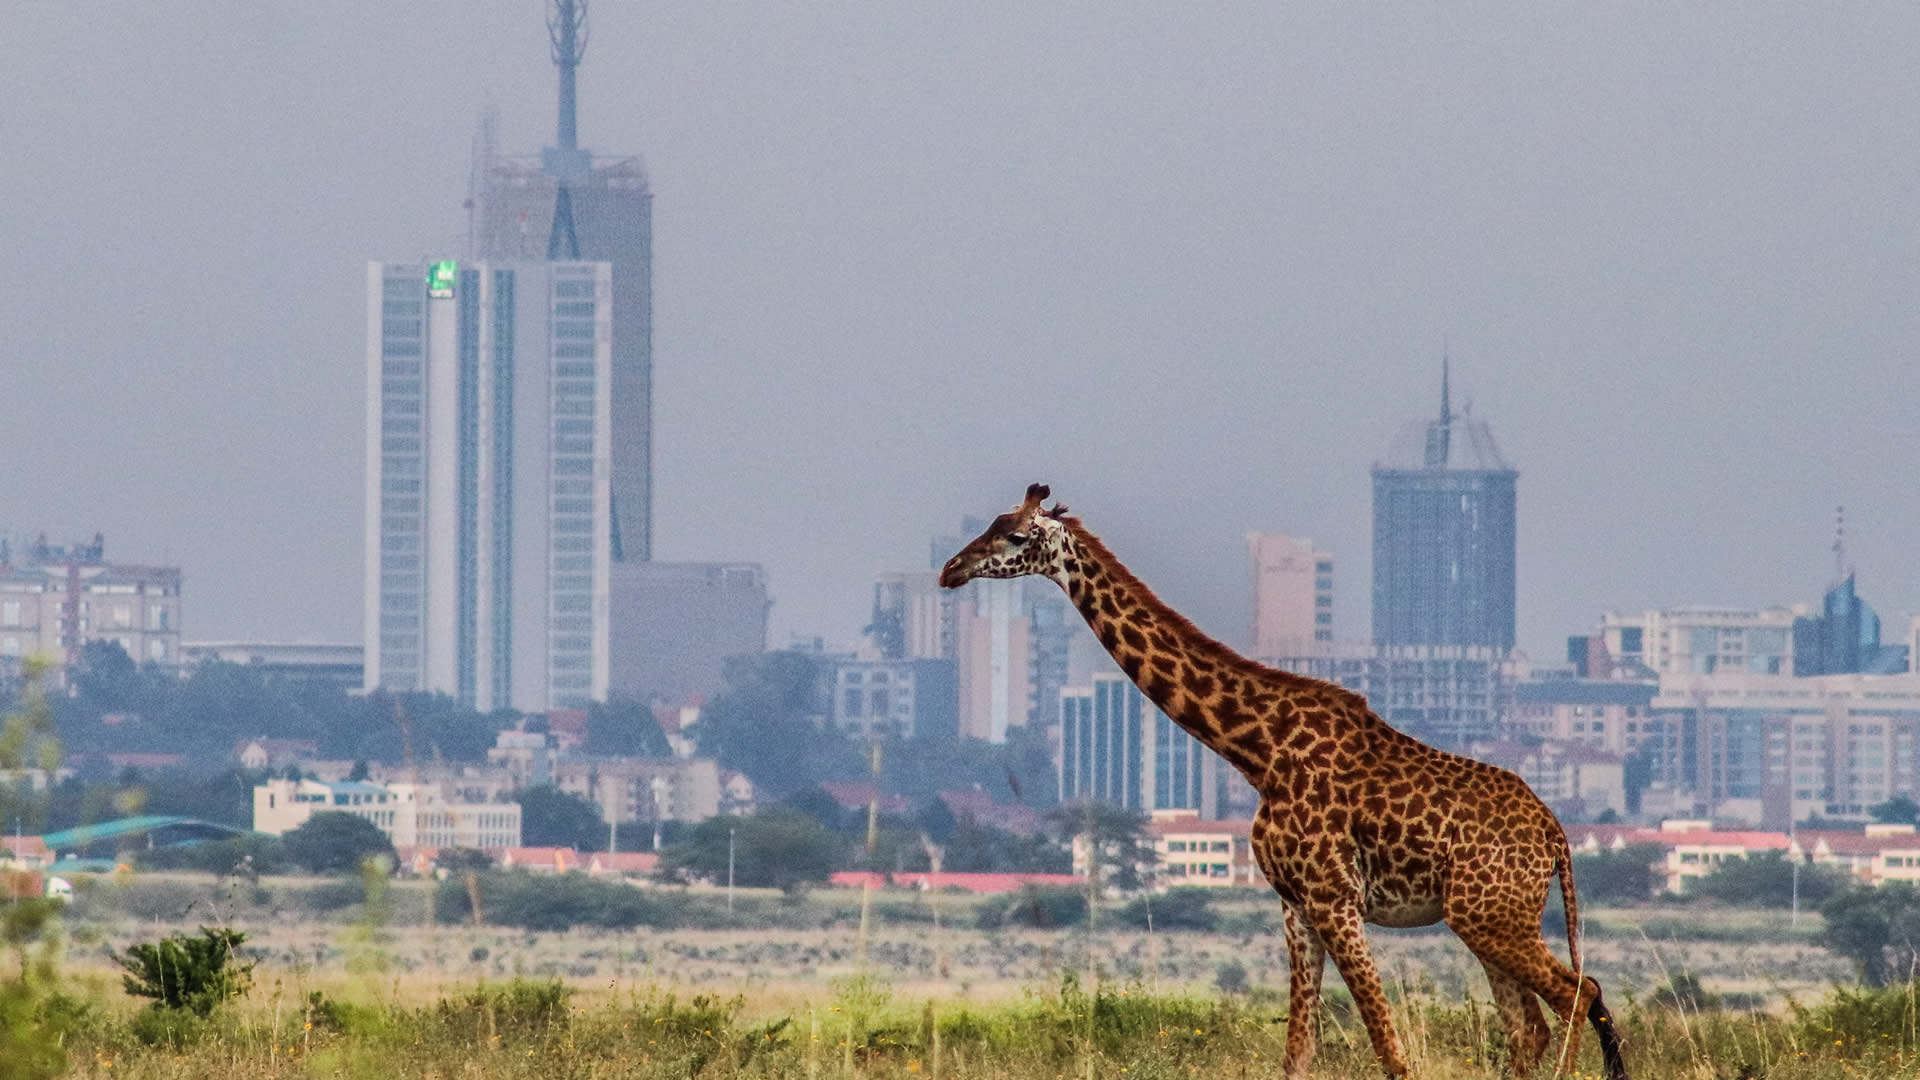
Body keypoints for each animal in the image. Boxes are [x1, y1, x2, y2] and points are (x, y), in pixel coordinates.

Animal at [936, 486, 1628, 1076]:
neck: (1258, 751)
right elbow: (1298, 1053)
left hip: (1492, 915)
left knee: (1578, 992)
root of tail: (1556, 838)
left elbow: (1391, 1050)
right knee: (1532, 1026)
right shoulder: (1297, 907)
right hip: (1488, 919)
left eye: (1016, 534)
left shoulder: (1335, 898)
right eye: (990, 523)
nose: (950, 569)